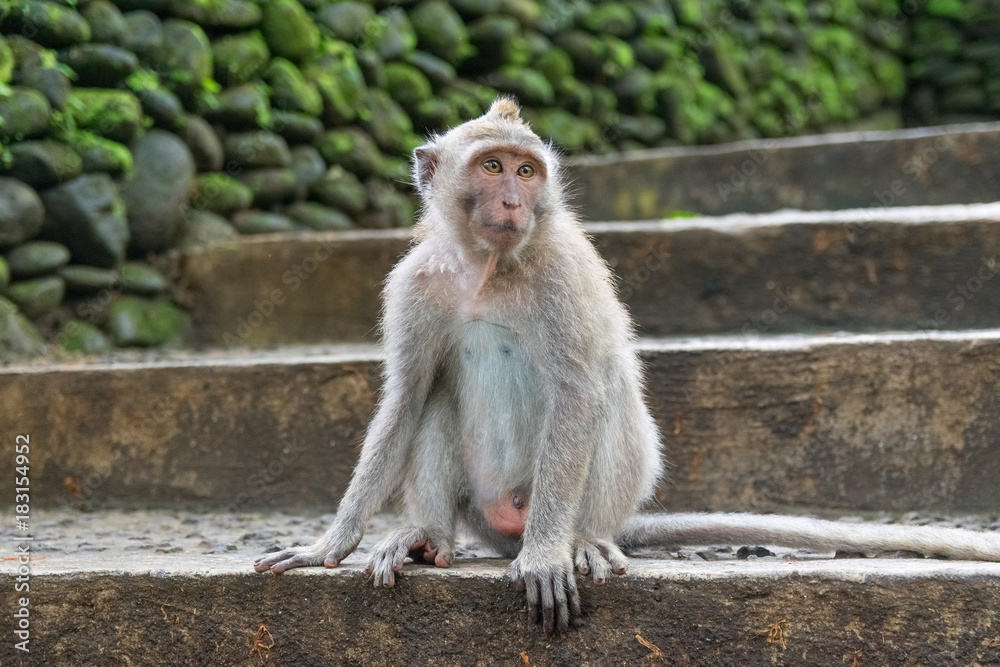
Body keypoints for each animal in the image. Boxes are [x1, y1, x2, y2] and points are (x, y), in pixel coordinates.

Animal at [255, 98, 1000, 634]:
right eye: (492, 168)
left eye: (526, 170)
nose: (515, 201)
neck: (486, 268)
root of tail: (507, 521)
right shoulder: (413, 285)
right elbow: (407, 396)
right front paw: (331, 541)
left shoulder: (562, 271)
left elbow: (579, 392)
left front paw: (549, 556)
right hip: (481, 506)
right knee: (437, 392)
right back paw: (427, 537)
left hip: (571, 499)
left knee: (604, 390)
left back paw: (580, 540)